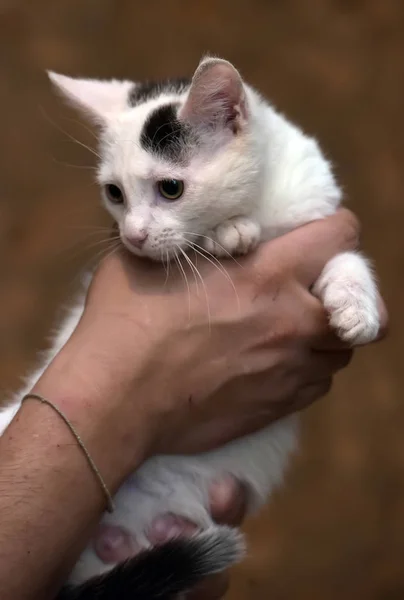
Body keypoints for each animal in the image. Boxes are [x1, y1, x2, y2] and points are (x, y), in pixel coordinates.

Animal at [0, 57, 380, 600]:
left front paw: (355, 305)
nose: (133, 236)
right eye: (114, 193)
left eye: (171, 188)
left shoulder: (315, 215)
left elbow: (343, 258)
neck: (262, 206)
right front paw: (231, 233)